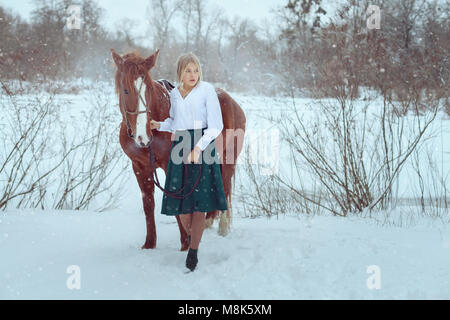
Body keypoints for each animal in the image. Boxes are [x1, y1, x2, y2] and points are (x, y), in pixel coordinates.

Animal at [111, 48, 246, 251]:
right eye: (126, 90)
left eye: (149, 89)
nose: (143, 137)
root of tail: (232, 102)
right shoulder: (140, 167)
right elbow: (148, 204)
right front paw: (150, 244)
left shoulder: (172, 165)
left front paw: (185, 242)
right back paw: (206, 223)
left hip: (228, 160)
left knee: (226, 187)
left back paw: (221, 227)